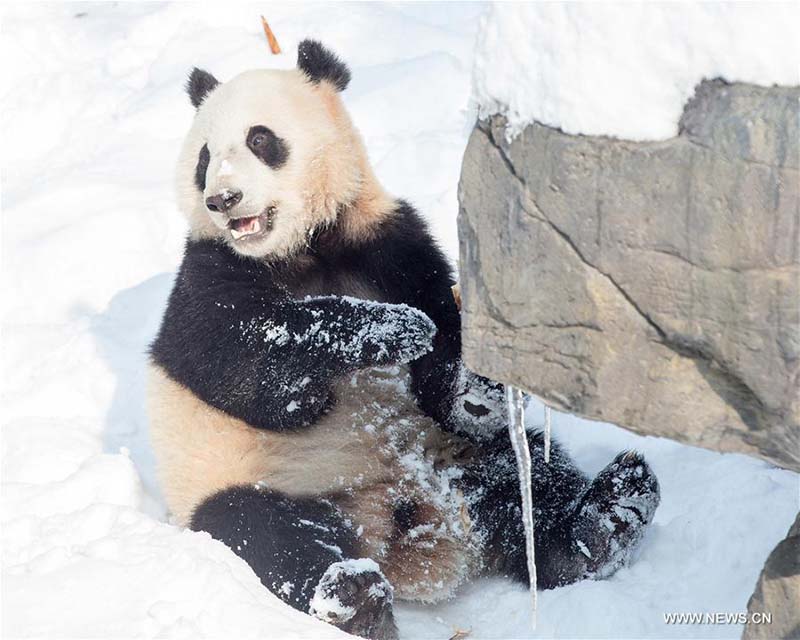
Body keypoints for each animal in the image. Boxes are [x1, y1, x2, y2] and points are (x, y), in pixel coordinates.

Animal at [148, 40, 661, 640]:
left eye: (260, 140)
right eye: (204, 157)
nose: (223, 199)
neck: (305, 248)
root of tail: (400, 530)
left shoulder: (390, 240)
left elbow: (442, 359)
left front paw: (477, 383)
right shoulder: (208, 273)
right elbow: (248, 366)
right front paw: (393, 328)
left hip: (463, 459)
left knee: (529, 476)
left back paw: (607, 518)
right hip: (251, 480)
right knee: (266, 534)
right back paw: (354, 598)